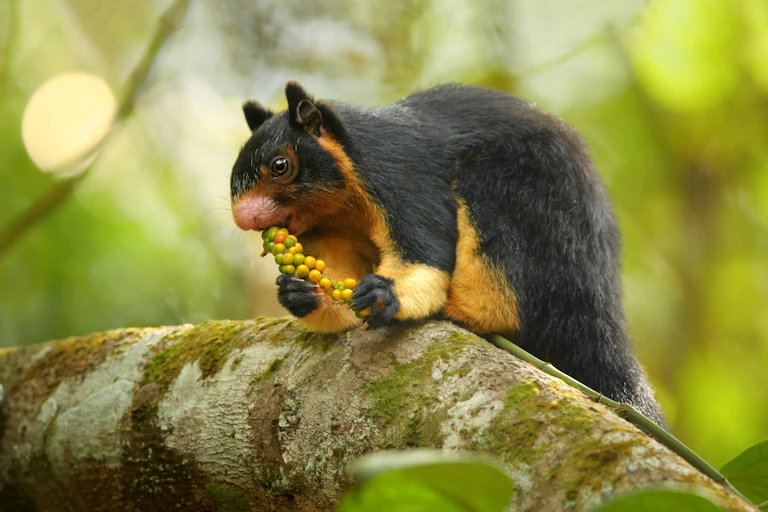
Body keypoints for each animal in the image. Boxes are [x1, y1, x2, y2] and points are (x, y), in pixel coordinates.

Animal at [230, 81, 667, 427]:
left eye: (281, 165)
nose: (244, 218)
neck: (345, 201)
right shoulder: (329, 232)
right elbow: (342, 280)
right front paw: (300, 293)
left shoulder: (401, 175)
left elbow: (423, 252)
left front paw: (387, 294)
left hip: (517, 204)